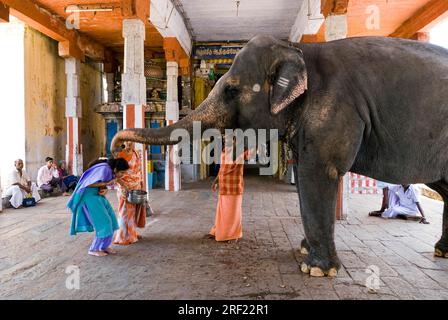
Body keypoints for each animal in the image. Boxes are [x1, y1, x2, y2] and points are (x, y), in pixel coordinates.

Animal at [111, 35, 448, 278]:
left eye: (231, 90)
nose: (117, 149)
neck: (297, 50)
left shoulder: (334, 111)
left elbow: (317, 173)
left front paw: (316, 270)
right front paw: (304, 251)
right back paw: (442, 252)